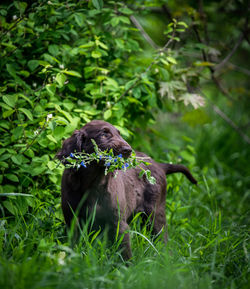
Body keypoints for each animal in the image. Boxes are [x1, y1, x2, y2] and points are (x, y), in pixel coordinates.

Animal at [56, 119, 197, 258]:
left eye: (119, 133)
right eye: (103, 134)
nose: (128, 150)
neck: (93, 182)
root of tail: (158, 165)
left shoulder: (118, 222)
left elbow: (124, 252)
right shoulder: (72, 219)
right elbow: (73, 245)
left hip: (155, 212)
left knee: (162, 239)